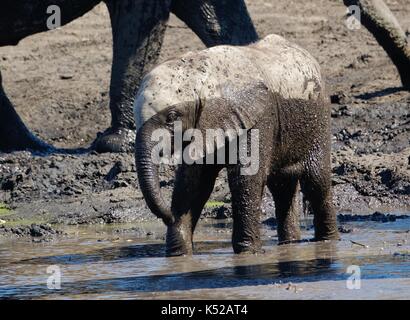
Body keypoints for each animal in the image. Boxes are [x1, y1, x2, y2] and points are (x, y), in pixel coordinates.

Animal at [135, 33, 340, 256]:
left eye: (171, 117)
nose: (169, 216)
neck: (199, 71)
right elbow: (192, 182)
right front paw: (178, 255)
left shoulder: (256, 118)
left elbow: (245, 178)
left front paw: (248, 253)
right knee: (282, 187)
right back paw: (289, 244)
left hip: (319, 118)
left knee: (316, 182)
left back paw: (328, 242)